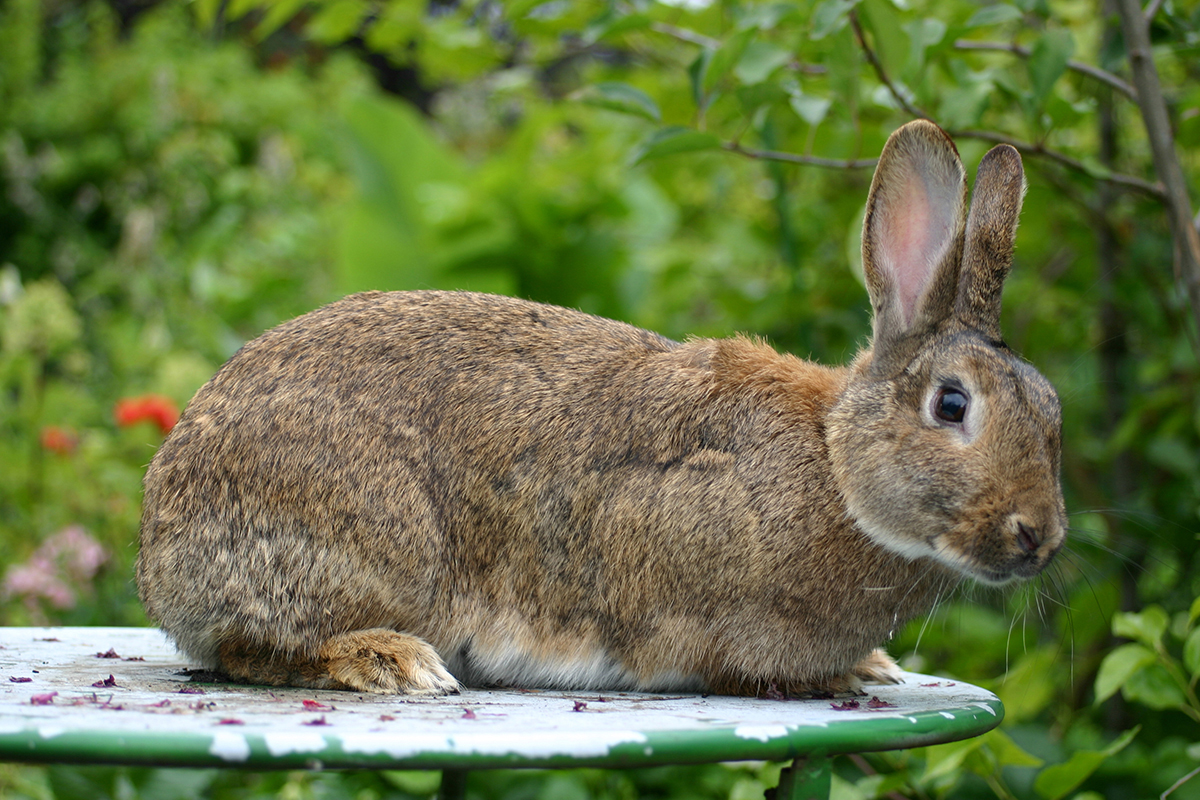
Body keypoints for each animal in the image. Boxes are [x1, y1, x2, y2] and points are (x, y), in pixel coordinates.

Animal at [138, 120, 1070, 700]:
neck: (835, 463)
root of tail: (157, 545)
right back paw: (394, 662)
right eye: (952, 404)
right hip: (372, 543)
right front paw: (844, 673)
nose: (1039, 536)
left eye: (1051, 409)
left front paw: (871, 666)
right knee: (254, 649)